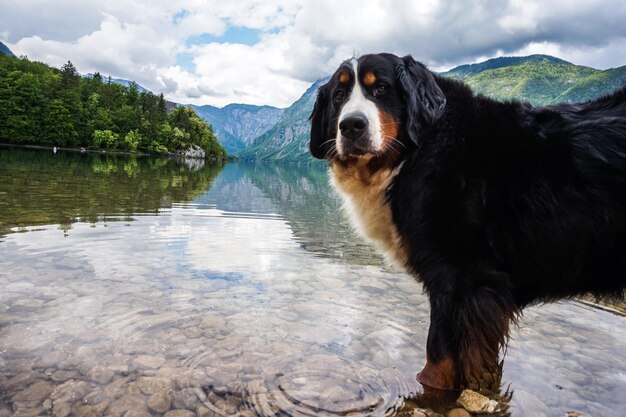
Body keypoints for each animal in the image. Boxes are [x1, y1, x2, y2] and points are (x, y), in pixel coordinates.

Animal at [308, 53, 624, 388]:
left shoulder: (459, 279)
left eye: (381, 88)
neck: (418, 151)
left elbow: (438, 358)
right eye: (339, 95)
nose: (351, 125)